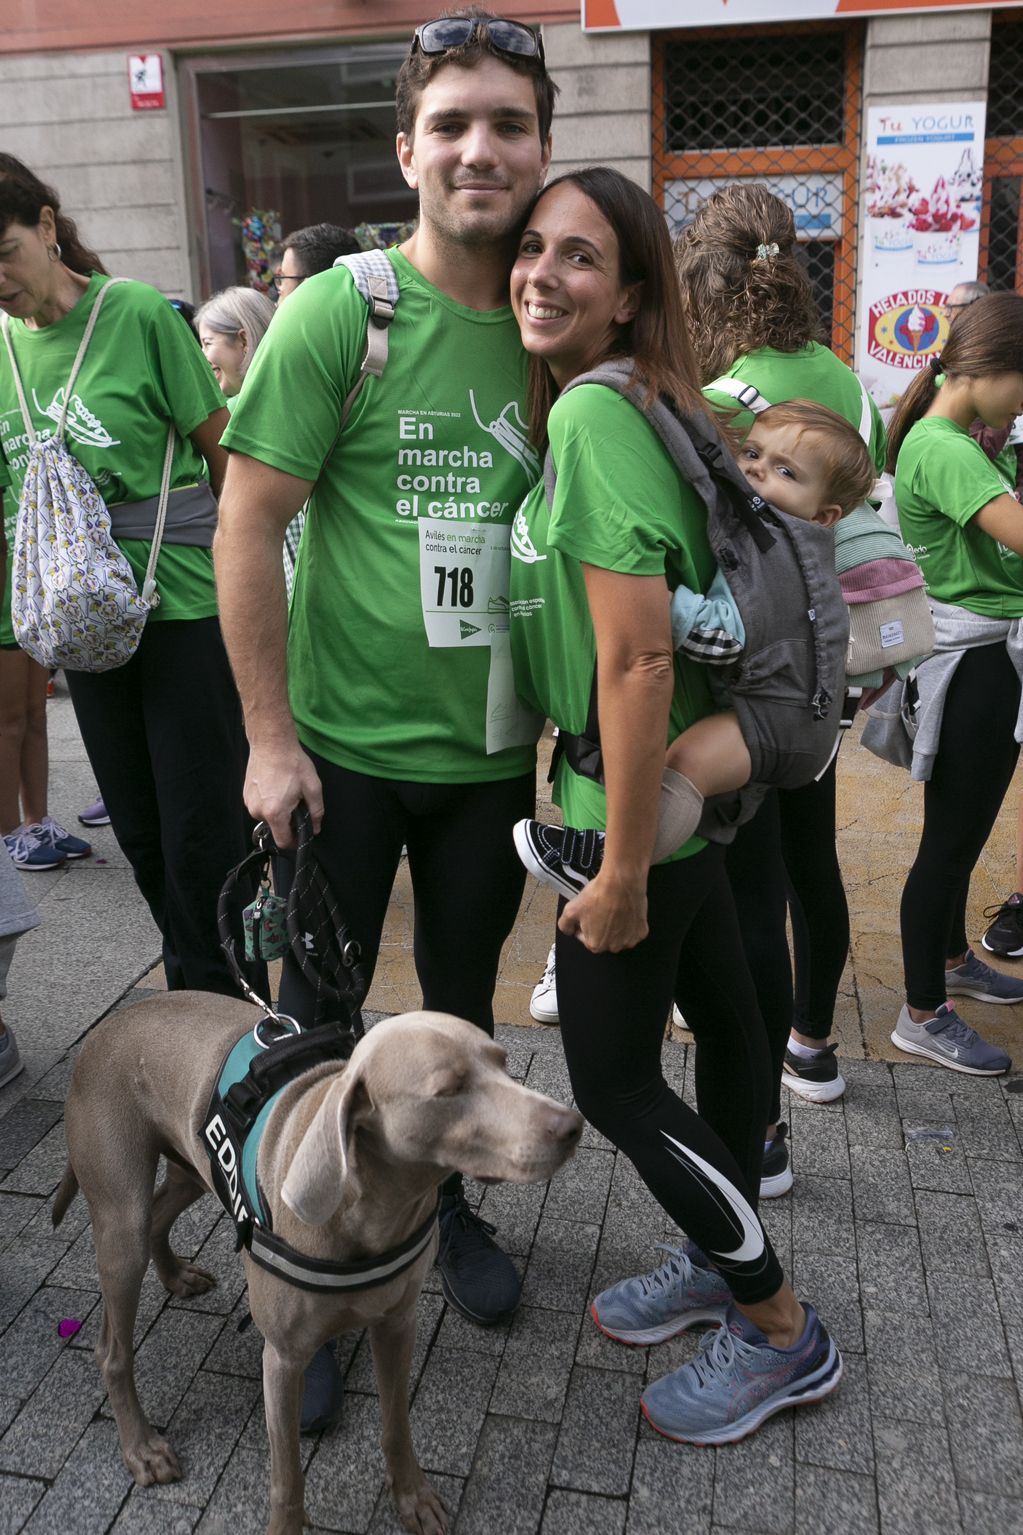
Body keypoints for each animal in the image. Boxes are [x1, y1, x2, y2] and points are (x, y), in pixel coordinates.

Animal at [53, 994, 580, 1535]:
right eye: (449, 1089)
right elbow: (287, 1477)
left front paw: (411, 1496)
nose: (571, 1125)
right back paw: (142, 1448)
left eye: (503, 1063)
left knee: (160, 1211)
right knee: (112, 1348)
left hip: (192, 1165)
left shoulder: (398, 1323)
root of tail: (107, 1024)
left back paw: (177, 1275)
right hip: (121, 1220)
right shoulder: (283, 1360)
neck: (373, 1212)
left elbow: (396, 1424)